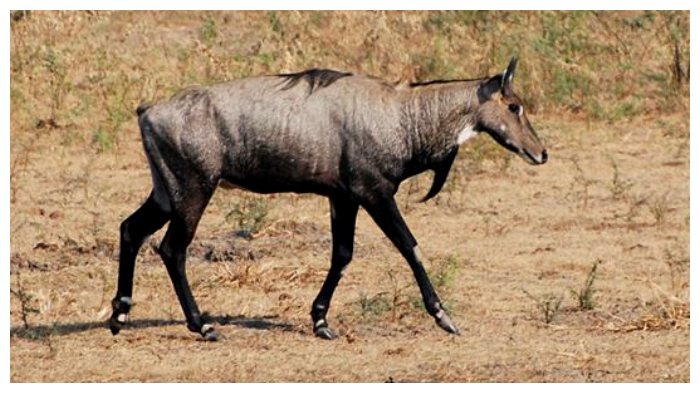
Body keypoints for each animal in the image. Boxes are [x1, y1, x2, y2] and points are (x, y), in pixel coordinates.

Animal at [109, 56, 548, 340]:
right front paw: (443, 316)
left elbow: (342, 254)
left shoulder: (343, 198)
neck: (399, 114)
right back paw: (202, 325)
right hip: (194, 190)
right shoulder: (375, 193)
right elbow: (409, 246)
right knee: (172, 248)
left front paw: (320, 321)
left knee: (131, 229)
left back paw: (120, 315)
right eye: (514, 105)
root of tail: (149, 111)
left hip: (166, 193)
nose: (541, 153)